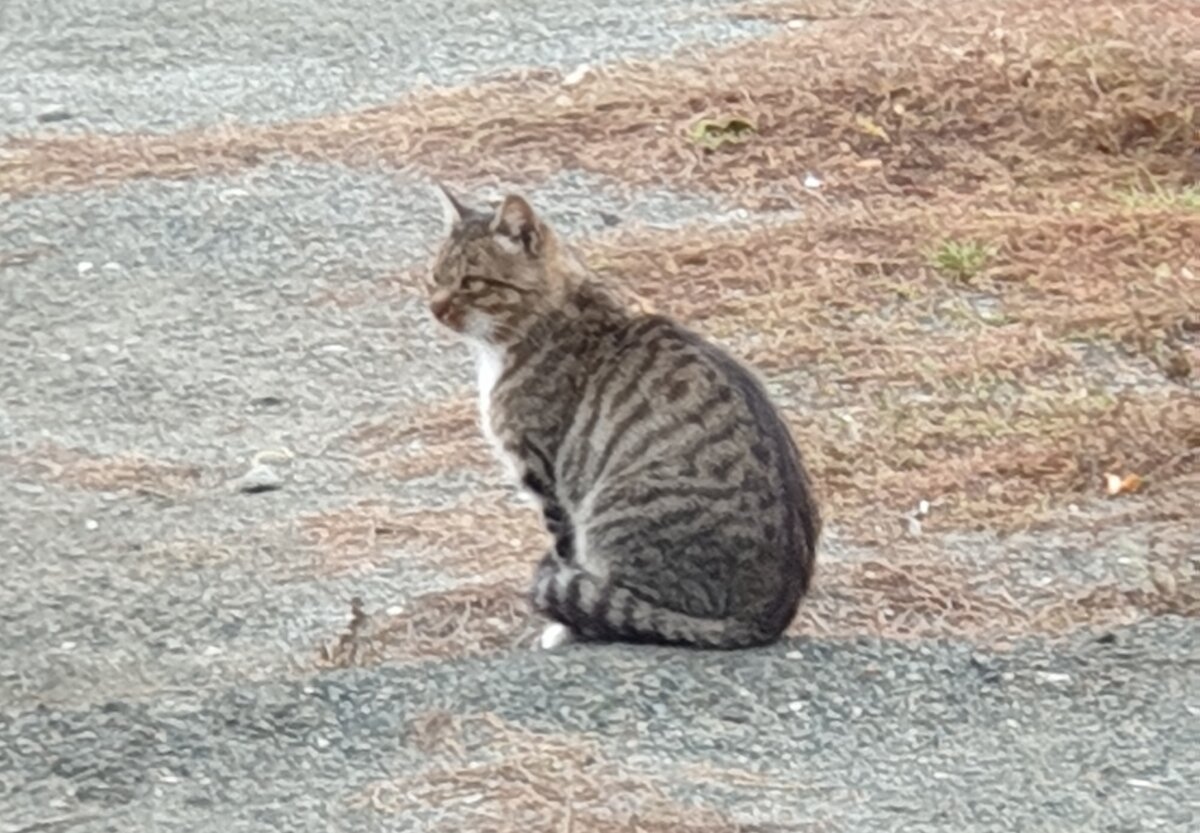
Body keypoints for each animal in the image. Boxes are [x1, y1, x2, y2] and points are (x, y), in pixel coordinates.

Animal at [427, 187, 820, 652]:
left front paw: (567, 625)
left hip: (616, 507)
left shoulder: (548, 480)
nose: (434, 308)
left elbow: (565, 553)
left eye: (471, 283)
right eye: (435, 276)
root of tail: (763, 618)